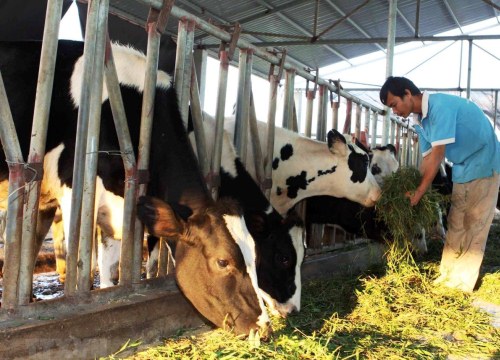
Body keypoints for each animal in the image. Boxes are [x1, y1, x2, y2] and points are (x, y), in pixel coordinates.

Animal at [0, 40, 270, 338]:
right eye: (223, 262)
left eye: (257, 257)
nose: (264, 326)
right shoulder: (74, 191)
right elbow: (84, 266)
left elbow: (110, 271)